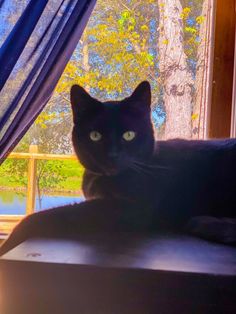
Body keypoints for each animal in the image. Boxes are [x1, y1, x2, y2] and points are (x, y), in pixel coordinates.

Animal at [0, 81, 236, 255]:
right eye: (95, 135)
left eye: (129, 135)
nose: (112, 155)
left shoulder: (131, 208)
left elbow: (49, 216)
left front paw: (9, 243)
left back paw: (203, 223)